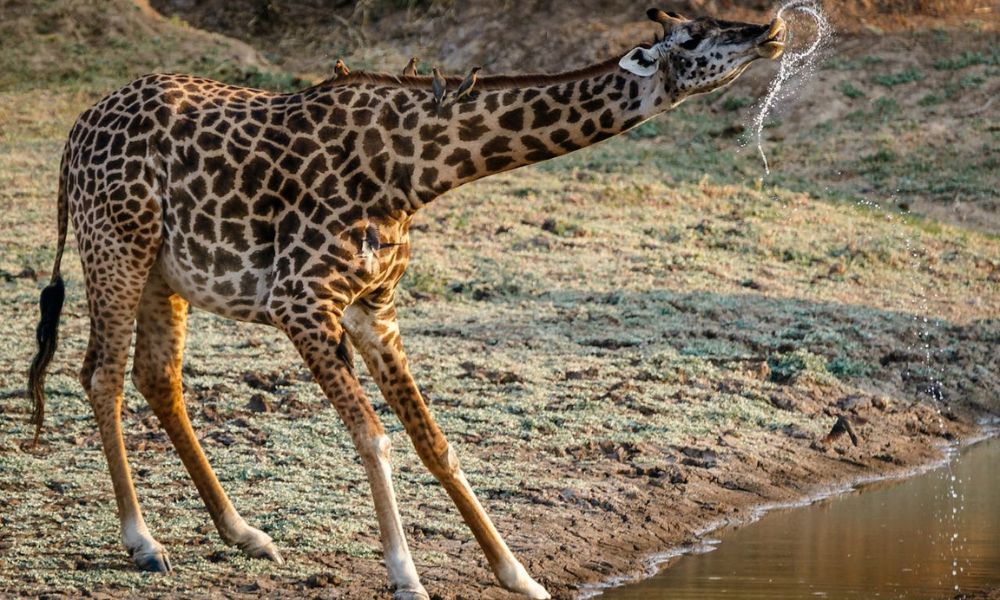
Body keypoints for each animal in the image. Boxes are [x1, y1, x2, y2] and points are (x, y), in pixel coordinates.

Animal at [27, 9, 784, 600]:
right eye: (694, 36)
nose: (771, 32)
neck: (416, 169)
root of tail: (73, 137)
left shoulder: (374, 308)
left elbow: (434, 441)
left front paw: (520, 575)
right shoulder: (300, 301)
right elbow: (375, 435)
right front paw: (406, 576)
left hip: (165, 273)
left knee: (157, 377)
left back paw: (246, 534)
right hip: (116, 246)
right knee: (101, 374)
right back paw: (143, 542)